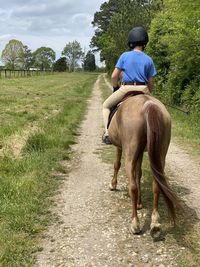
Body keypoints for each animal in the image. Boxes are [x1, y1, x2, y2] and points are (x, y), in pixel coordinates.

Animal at [108, 94, 183, 239]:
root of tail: (148, 104)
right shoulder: (141, 153)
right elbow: (139, 173)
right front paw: (139, 203)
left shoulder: (120, 147)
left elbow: (117, 164)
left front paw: (113, 184)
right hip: (160, 155)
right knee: (156, 185)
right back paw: (155, 224)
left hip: (130, 153)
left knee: (132, 186)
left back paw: (135, 224)